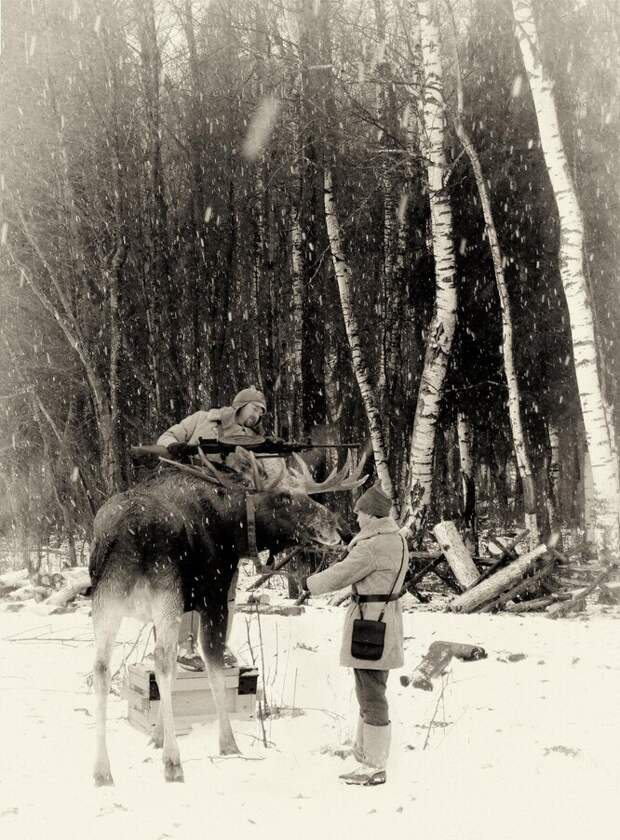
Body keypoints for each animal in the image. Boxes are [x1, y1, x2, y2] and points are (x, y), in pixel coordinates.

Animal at [89, 450, 366, 784]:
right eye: (284, 497)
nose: (341, 529)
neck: (233, 529)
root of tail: (126, 534)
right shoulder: (214, 597)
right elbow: (214, 668)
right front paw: (227, 743)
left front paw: (156, 737)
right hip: (165, 593)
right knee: (162, 660)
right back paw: (173, 762)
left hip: (106, 599)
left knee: (102, 668)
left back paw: (102, 770)